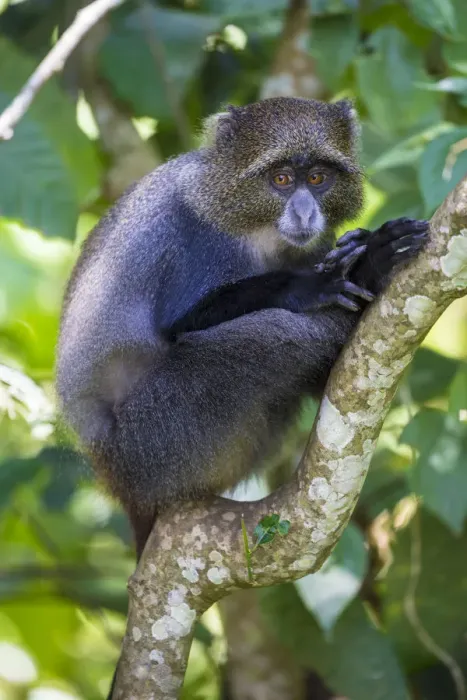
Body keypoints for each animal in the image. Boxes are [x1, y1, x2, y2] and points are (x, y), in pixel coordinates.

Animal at [56, 97, 428, 562]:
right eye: (281, 179)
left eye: (317, 178)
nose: (305, 212)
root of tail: (123, 485)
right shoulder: (201, 239)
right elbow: (183, 321)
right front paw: (338, 275)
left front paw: (357, 252)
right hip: (157, 438)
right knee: (279, 333)